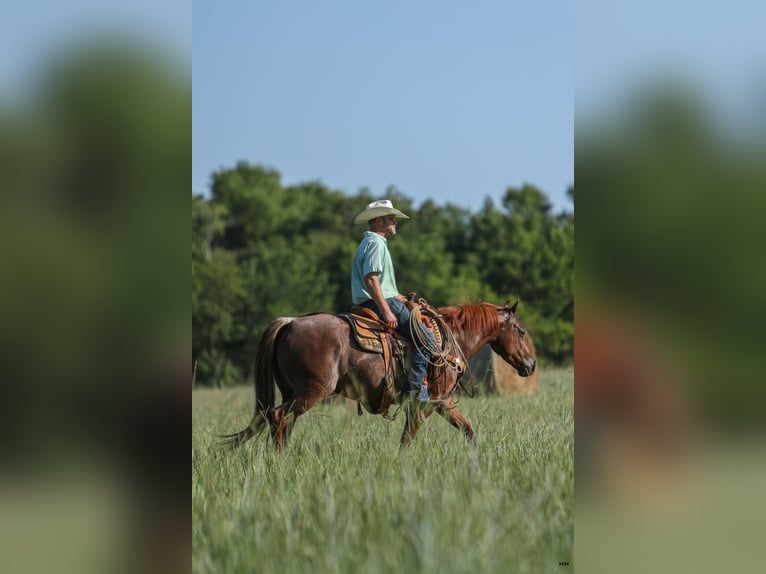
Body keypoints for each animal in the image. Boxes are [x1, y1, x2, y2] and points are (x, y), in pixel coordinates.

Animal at [219, 300, 536, 452]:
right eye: (520, 331)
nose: (531, 365)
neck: (450, 340)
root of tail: (290, 322)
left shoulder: (443, 402)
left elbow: (469, 431)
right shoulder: (426, 404)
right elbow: (407, 440)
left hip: (292, 393)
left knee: (278, 421)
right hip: (311, 393)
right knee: (278, 418)